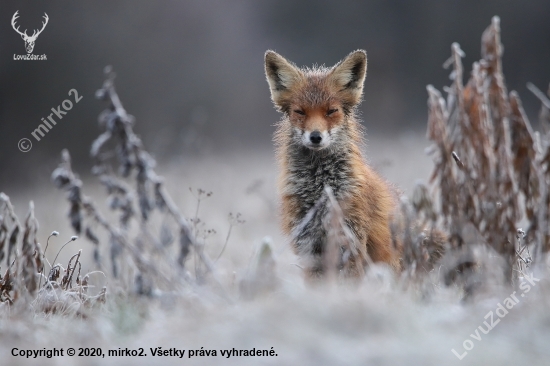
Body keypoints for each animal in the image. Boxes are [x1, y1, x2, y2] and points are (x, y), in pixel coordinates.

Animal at [266, 48, 404, 278]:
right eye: (300, 112)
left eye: (331, 111)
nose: (315, 137)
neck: (320, 186)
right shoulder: (309, 247)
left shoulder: (351, 241)